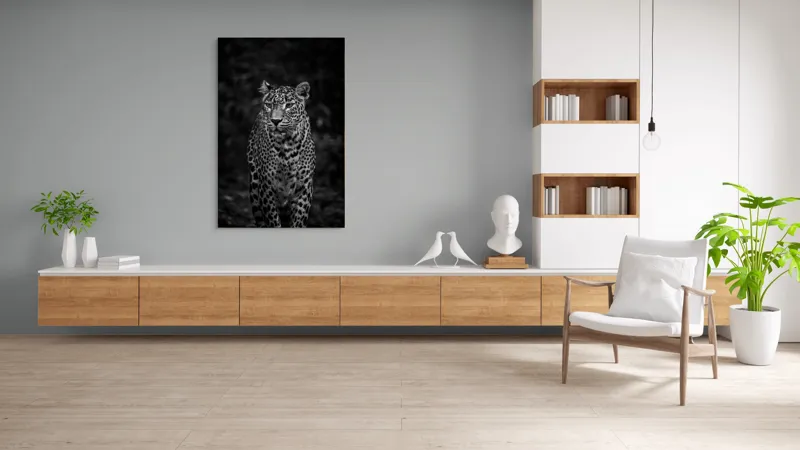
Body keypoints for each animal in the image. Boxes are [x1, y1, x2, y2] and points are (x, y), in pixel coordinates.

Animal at [246, 80, 315, 228]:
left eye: (288, 105)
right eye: (269, 105)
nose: (275, 121)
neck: (287, 142)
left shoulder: (304, 188)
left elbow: (298, 221)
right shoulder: (266, 187)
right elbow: (273, 221)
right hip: (254, 186)